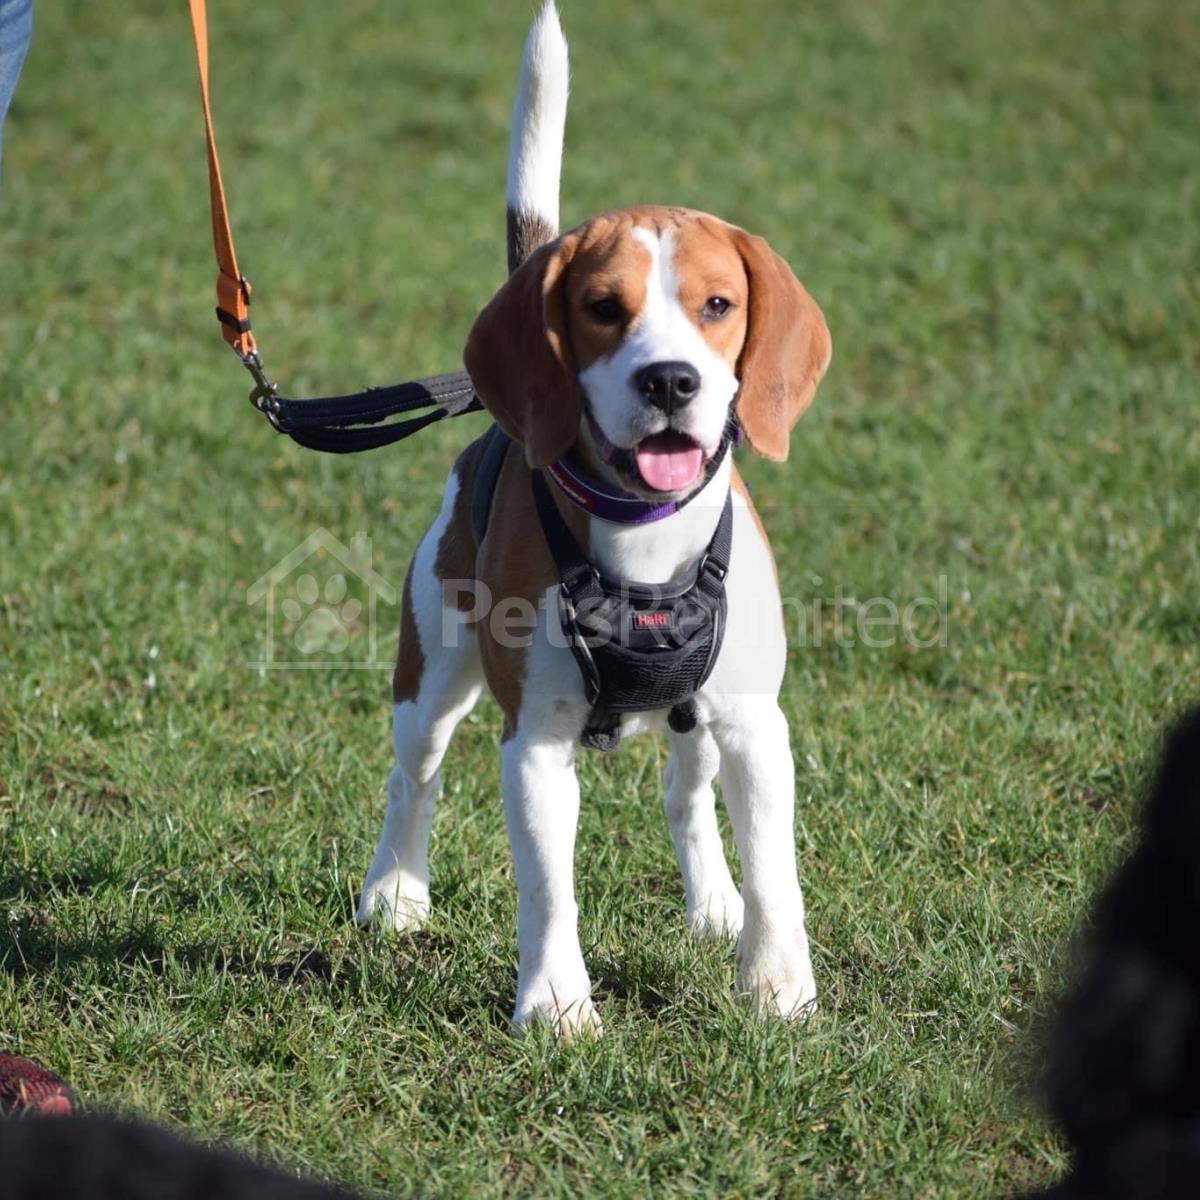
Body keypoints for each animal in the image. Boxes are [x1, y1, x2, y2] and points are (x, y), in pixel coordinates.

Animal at [356, 2, 832, 1036]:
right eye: (603, 308)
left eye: (718, 305)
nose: (671, 381)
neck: (645, 530)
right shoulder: (534, 742)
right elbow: (548, 887)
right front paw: (556, 1005)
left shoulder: (754, 724)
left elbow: (777, 874)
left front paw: (778, 987)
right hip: (431, 672)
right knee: (415, 776)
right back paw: (395, 892)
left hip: (700, 717)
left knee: (686, 797)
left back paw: (712, 901)